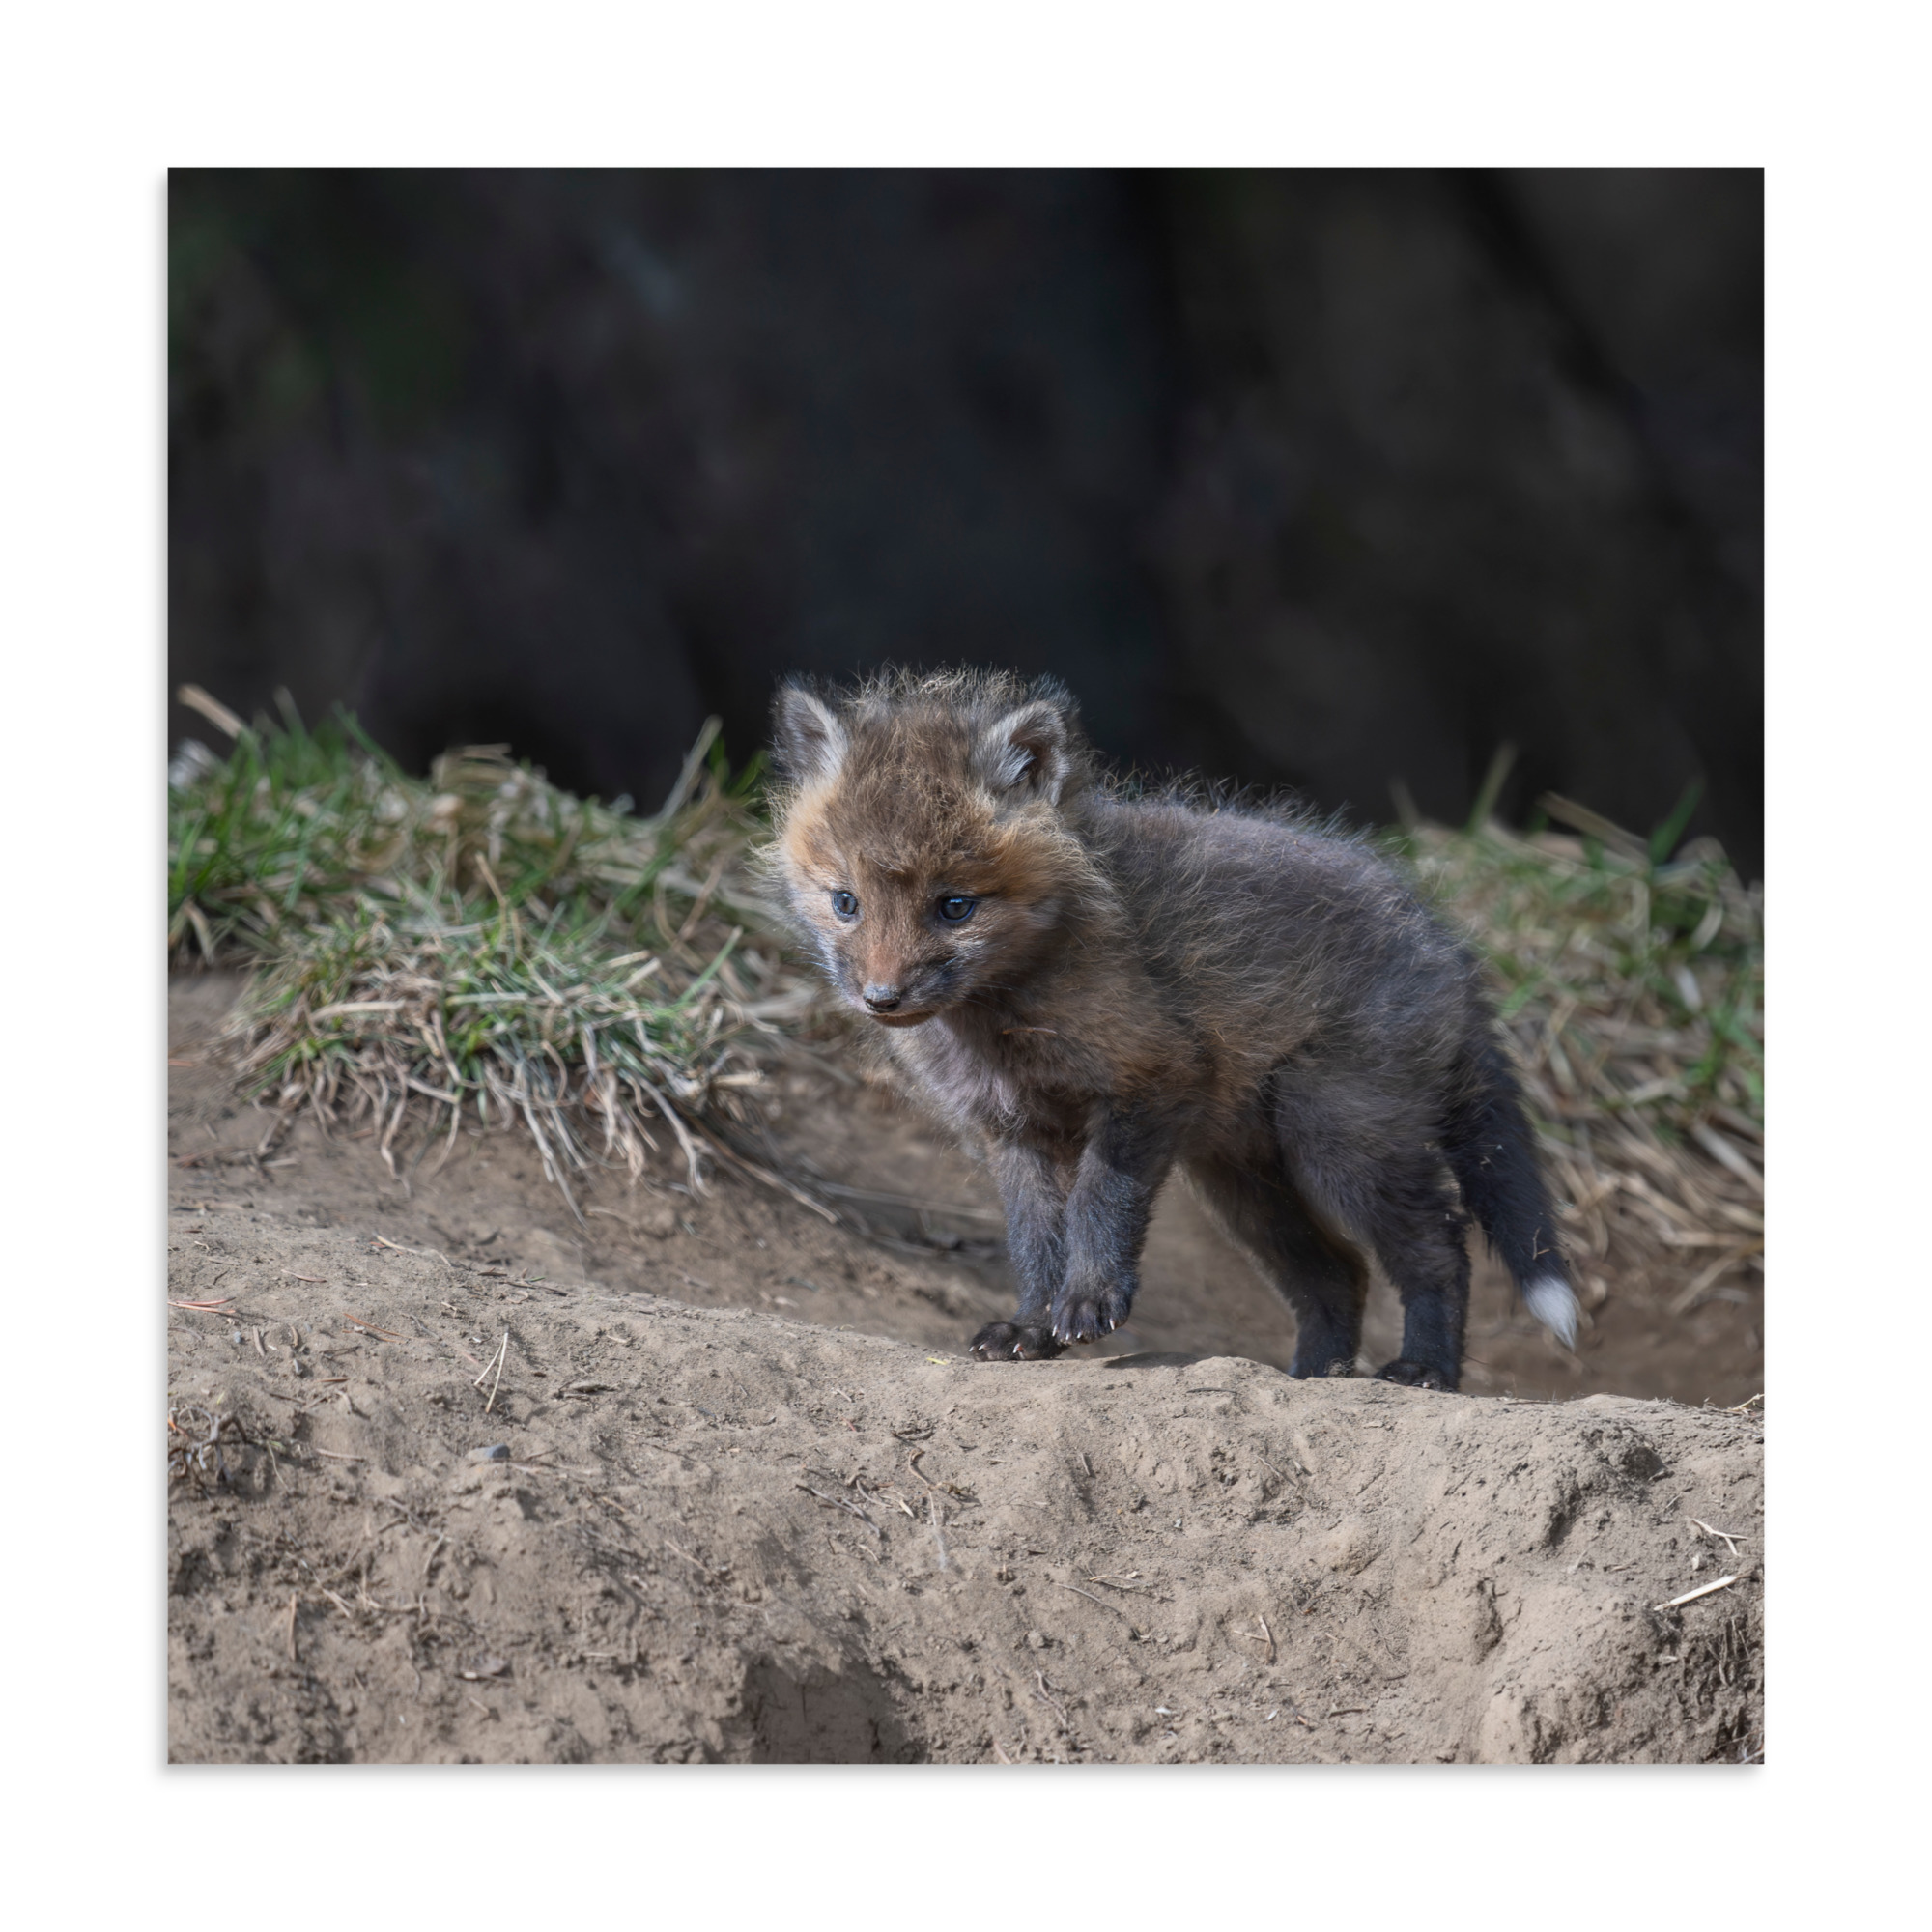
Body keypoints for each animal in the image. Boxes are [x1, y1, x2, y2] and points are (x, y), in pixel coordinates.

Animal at [765, 667, 1578, 1391]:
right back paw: (1314, 1376)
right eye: (845, 902)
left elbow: (1099, 1203)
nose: (882, 998)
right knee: (1338, 1274)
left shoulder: (1151, 1078)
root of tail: (1447, 946)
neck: (1003, 1020)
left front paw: (1089, 1301)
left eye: (955, 907)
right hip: (1245, 1182)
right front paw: (1031, 1327)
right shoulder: (1014, 1130)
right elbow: (1034, 1241)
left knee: (1440, 1247)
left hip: (1338, 1140)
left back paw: (1425, 1370)